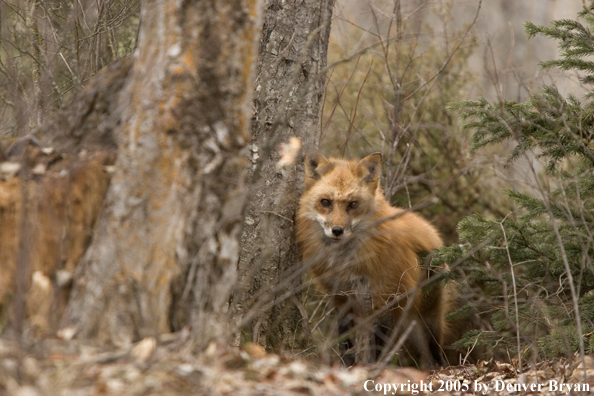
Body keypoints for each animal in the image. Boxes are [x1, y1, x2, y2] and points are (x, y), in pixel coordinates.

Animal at [294, 150, 450, 366]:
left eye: (353, 205)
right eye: (325, 202)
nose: (337, 230)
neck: (346, 262)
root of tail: (433, 233)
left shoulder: (383, 300)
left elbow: (376, 346)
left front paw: (372, 368)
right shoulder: (342, 299)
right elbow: (346, 343)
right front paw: (348, 366)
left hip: (426, 318)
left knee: (434, 351)